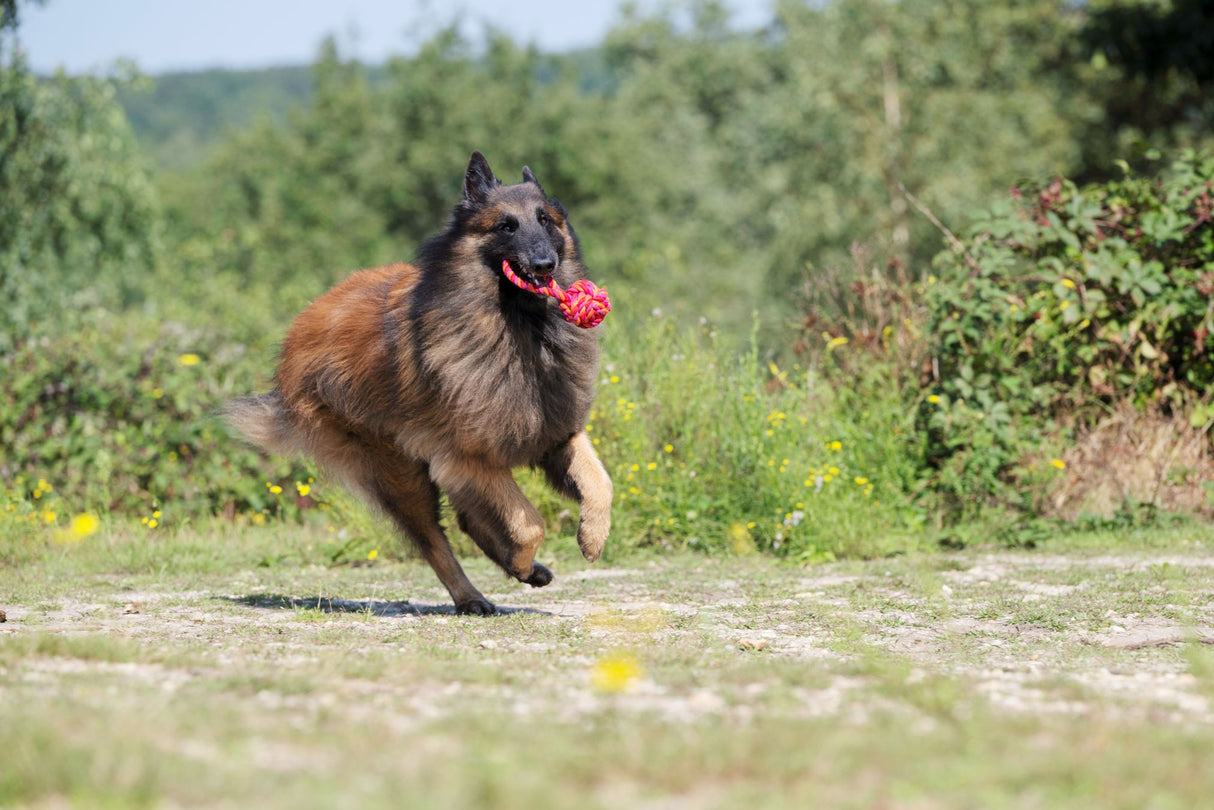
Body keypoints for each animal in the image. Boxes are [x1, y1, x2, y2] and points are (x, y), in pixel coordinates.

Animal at [227, 151, 611, 616]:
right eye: (506, 226)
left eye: (545, 220)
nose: (544, 265)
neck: (517, 327)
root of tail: (297, 332)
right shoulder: (467, 459)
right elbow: (529, 523)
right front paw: (522, 560)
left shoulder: (556, 433)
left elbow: (600, 483)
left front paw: (591, 538)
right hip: (401, 474)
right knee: (435, 542)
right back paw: (472, 595)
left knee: (467, 521)